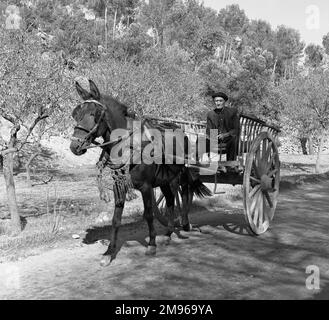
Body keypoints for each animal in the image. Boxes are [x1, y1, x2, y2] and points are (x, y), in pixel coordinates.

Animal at [70, 80, 211, 268]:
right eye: (76, 114)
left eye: (94, 114)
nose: (74, 146)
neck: (129, 145)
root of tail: (179, 128)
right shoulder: (119, 185)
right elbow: (116, 220)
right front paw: (109, 253)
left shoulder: (146, 186)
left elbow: (148, 214)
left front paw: (151, 244)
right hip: (164, 181)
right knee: (170, 200)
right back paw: (168, 233)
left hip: (176, 177)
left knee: (180, 196)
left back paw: (179, 227)